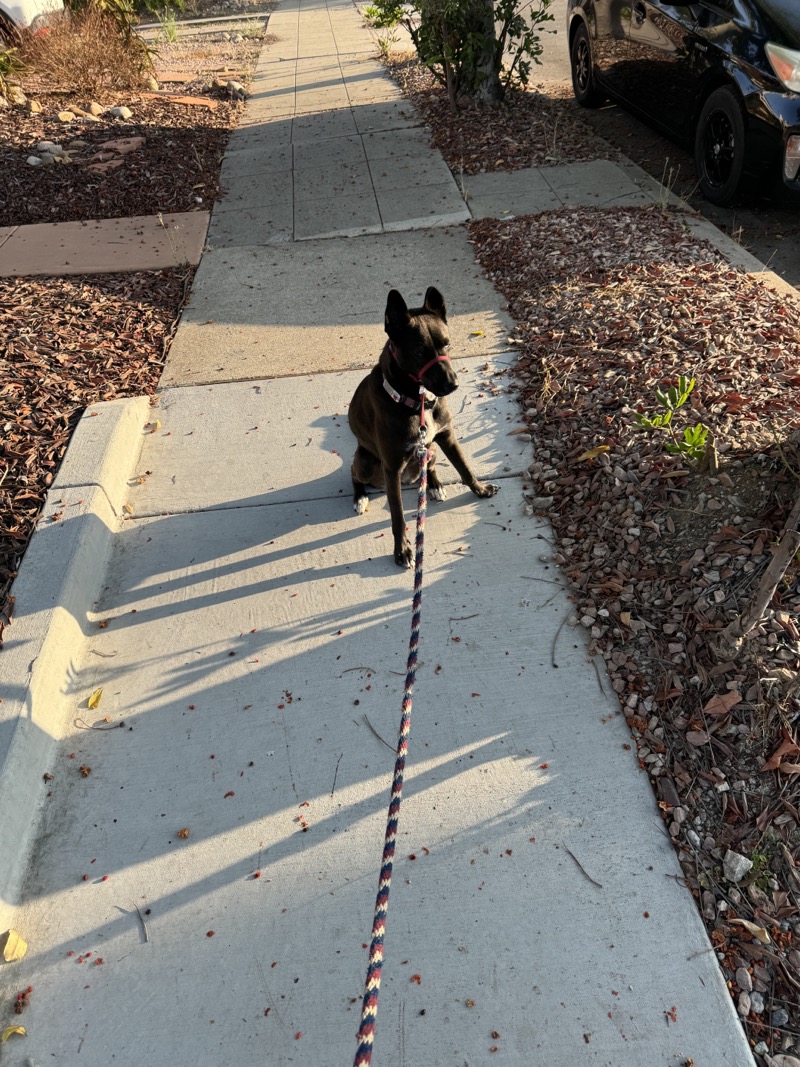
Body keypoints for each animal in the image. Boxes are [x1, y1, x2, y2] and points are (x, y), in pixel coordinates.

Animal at [347, 283, 499, 567]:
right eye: (420, 352)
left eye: (447, 344)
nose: (453, 385)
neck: (417, 402)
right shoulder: (392, 467)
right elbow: (397, 517)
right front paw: (403, 550)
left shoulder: (447, 437)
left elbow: (465, 468)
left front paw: (480, 489)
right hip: (366, 463)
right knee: (353, 472)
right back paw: (360, 497)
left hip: (431, 449)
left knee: (430, 465)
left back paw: (435, 485)